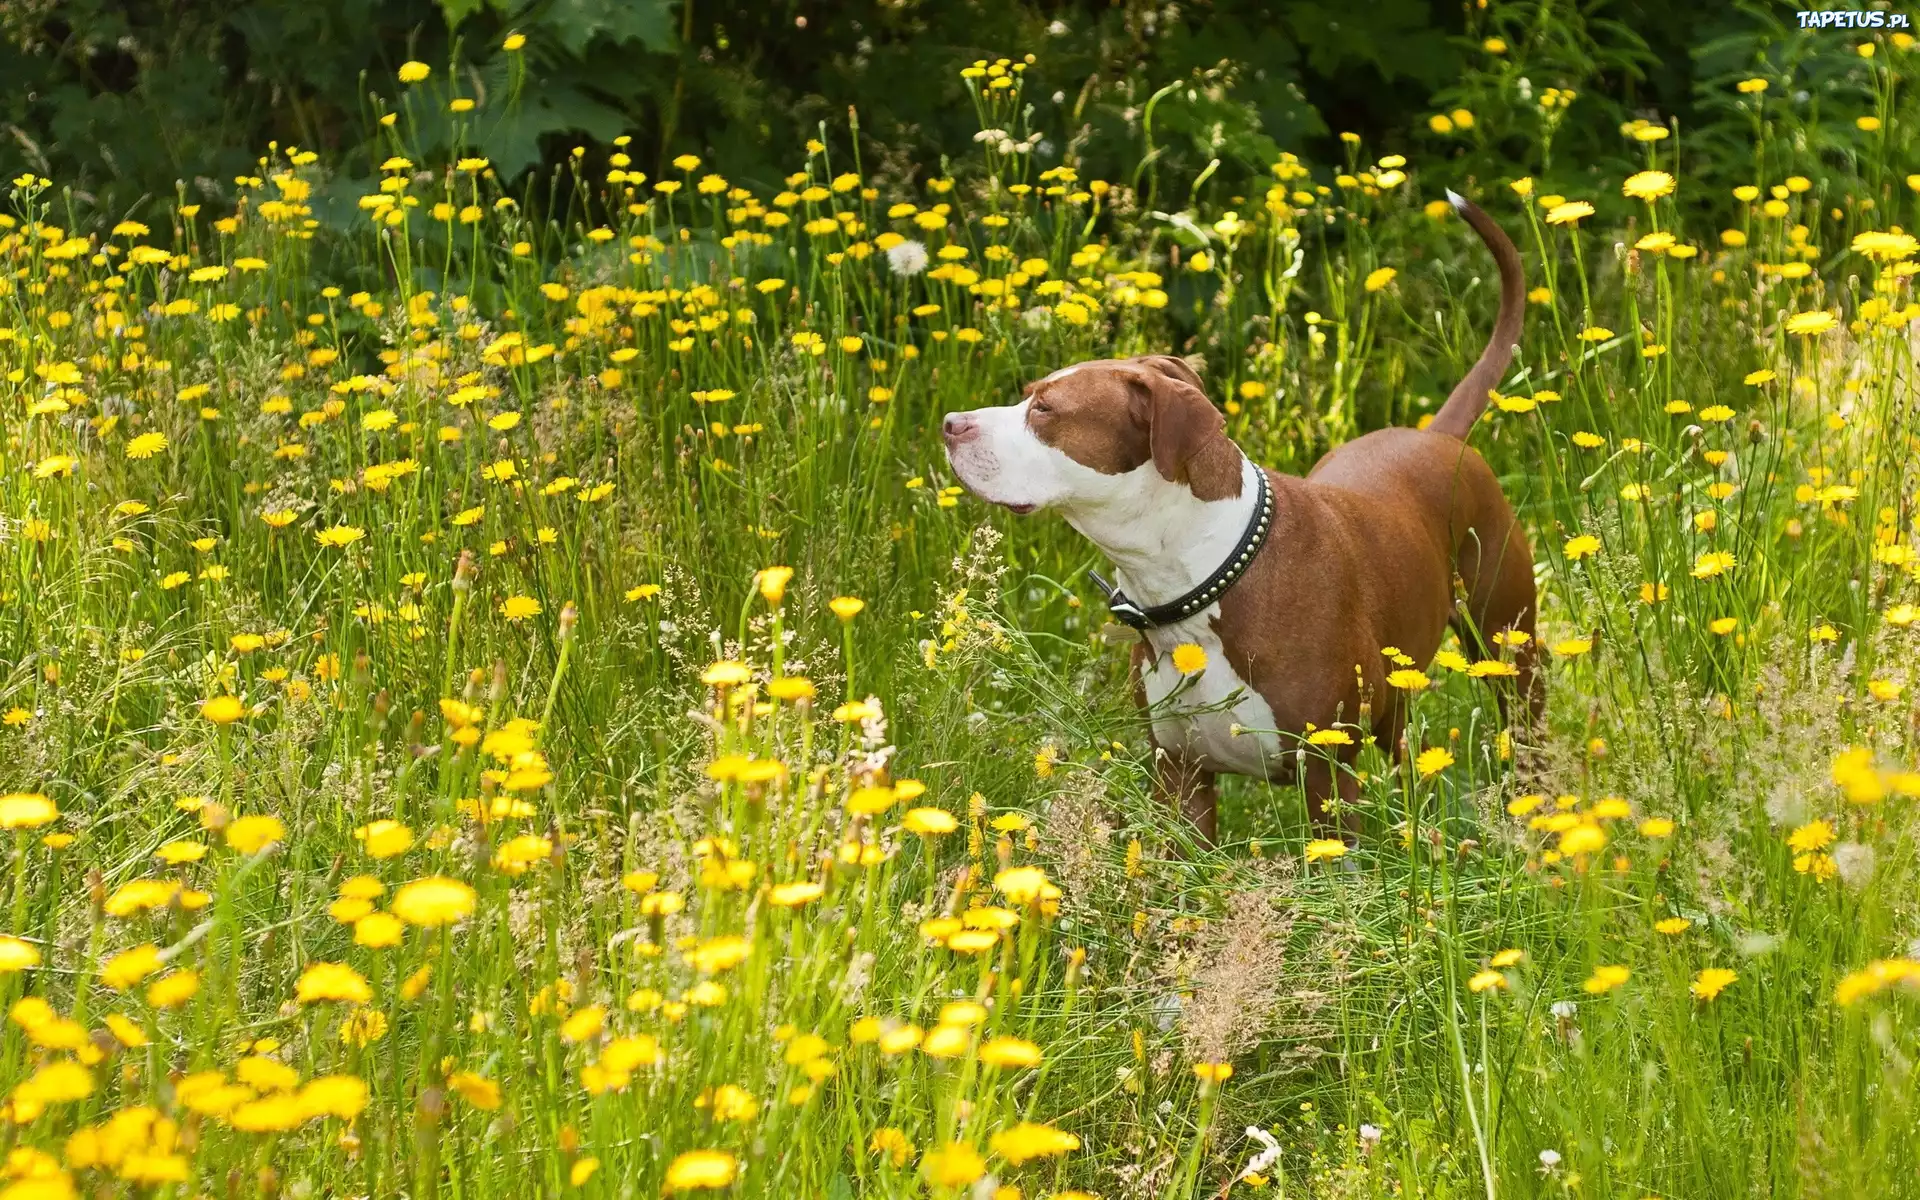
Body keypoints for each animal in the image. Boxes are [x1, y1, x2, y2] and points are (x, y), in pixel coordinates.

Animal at [936, 192, 1536, 837]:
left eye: (1045, 410)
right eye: (1029, 394)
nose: (950, 423)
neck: (1197, 581)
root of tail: (1440, 436)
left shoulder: (1327, 775)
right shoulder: (1179, 775)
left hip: (1508, 642)